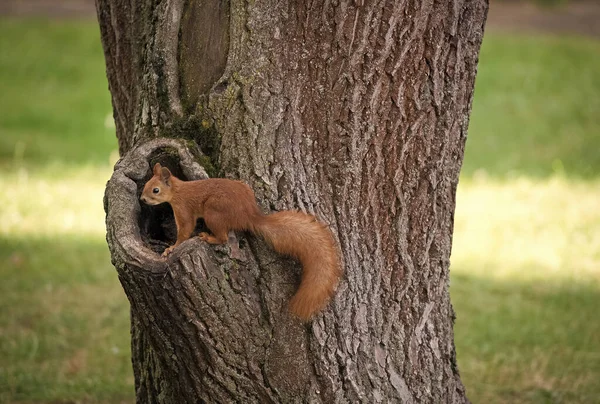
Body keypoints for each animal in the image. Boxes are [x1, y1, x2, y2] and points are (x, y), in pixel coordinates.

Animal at [138, 163, 340, 320]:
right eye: (146, 184)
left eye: (155, 190)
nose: (142, 199)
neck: (177, 190)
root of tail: (248, 215)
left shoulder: (184, 209)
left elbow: (185, 231)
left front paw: (172, 248)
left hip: (213, 212)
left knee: (223, 238)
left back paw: (208, 237)